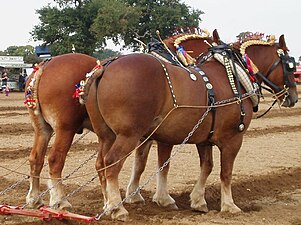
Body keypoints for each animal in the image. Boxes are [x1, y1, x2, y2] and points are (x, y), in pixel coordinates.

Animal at [22, 32, 216, 210]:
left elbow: (139, 164)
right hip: (65, 129)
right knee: (55, 160)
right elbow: (161, 164)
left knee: (36, 159)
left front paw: (133, 195)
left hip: (43, 129)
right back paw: (60, 201)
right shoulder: (160, 136)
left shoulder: (143, 135)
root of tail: (45, 65)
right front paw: (162, 198)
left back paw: (34, 198)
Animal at [83, 34, 296, 221]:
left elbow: (206, 166)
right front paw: (229, 205)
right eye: (290, 65)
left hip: (107, 135)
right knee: (112, 163)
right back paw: (117, 208)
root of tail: (105, 67)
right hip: (128, 135)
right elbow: (225, 172)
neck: (232, 77)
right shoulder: (233, 139)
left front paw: (197, 201)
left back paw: (107, 205)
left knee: (100, 164)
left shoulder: (203, 139)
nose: (293, 97)